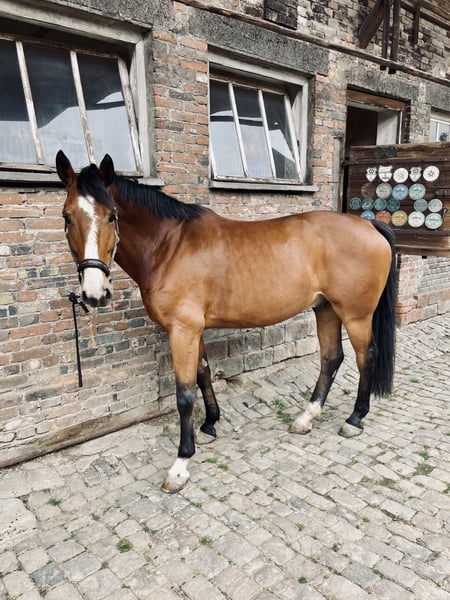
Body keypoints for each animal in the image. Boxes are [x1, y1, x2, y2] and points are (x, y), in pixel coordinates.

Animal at [56, 150, 397, 493]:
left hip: (355, 314)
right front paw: (210, 423)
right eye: (67, 217)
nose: (94, 293)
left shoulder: (183, 330)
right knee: (331, 358)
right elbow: (204, 373)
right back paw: (307, 417)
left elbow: (185, 394)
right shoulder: (194, 330)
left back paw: (354, 419)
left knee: (366, 357)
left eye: (112, 216)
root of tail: (370, 226)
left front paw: (181, 464)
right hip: (325, 309)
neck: (169, 247)